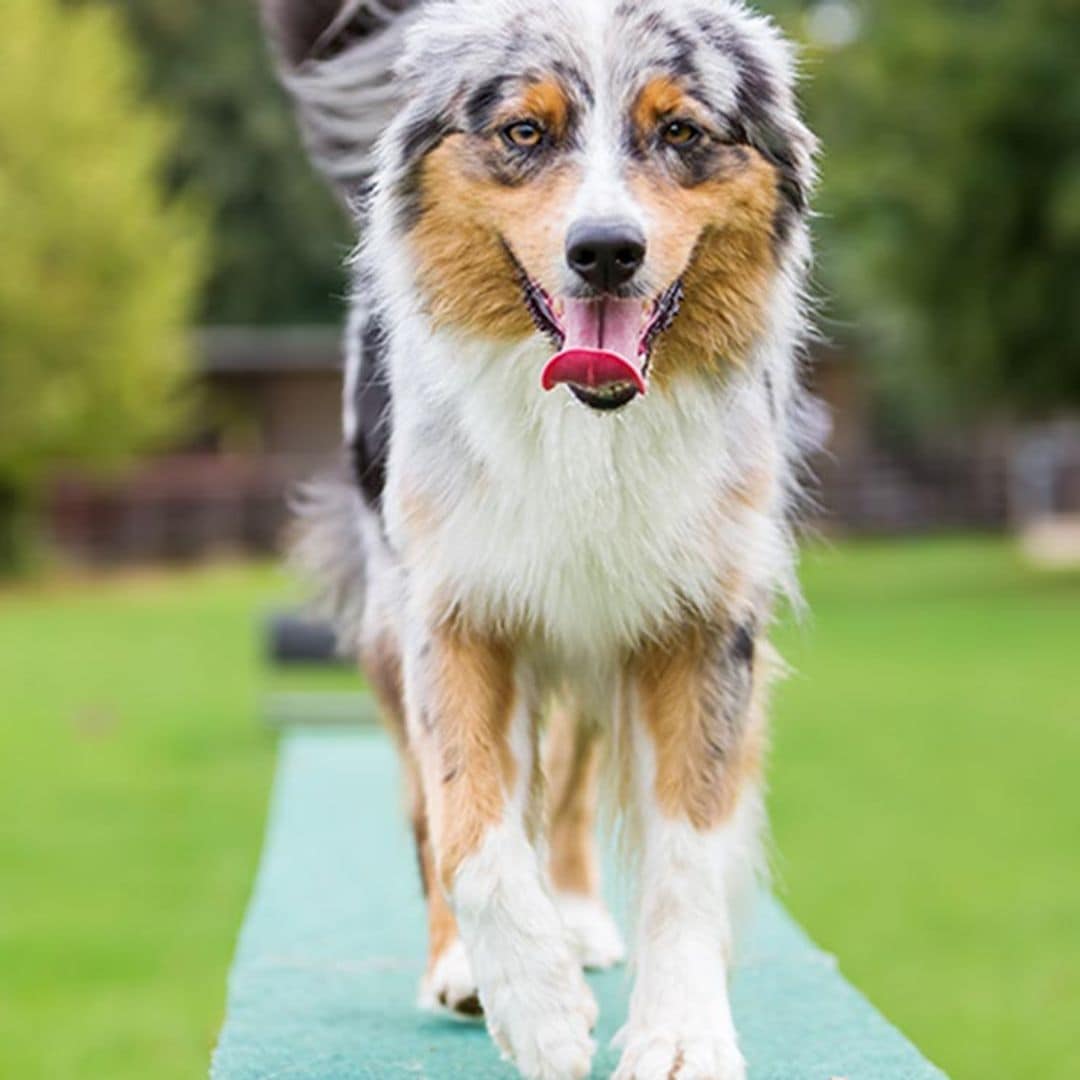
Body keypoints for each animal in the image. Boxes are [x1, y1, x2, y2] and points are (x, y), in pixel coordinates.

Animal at [261, 4, 816, 1075]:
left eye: (679, 131)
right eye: (526, 131)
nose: (605, 251)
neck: (588, 425)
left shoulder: (702, 614)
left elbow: (688, 843)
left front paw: (681, 1033)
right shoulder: (452, 604)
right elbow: (467, 820)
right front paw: (537, 1008)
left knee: (571, 778)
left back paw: (581, 919)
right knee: (427, 805)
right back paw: (463, 968)